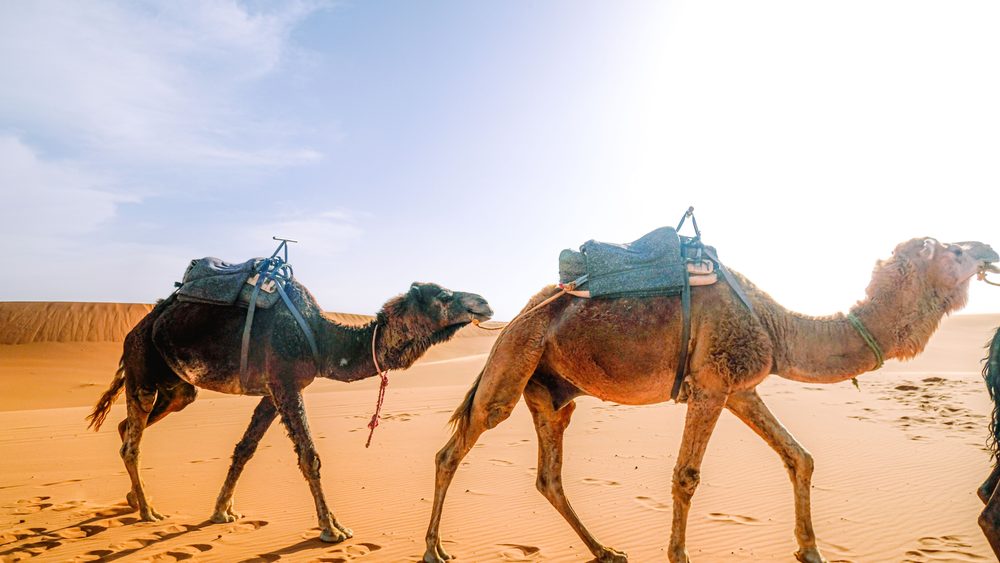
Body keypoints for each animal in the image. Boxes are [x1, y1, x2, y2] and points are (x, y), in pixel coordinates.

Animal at [87, 280, 492, 543]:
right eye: (444, 295)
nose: (484, 302)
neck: (325, 341)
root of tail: (135, 329)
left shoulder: (272, 391)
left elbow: (245, 449)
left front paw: (222, 510)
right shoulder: (285, 382)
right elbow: (309, 456)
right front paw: (332, 528)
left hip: (177, 386)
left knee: (130, 424)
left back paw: (135, 499)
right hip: (142, 364)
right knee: (132, 439)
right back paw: (148, 511)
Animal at [422, 237, 997, 563]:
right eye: (953, 250)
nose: (988, 249)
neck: (776, 326)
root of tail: (515, 318)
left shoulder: (740, 388)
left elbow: (799, 456)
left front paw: (811, 549)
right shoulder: (710, 387)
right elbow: (685, 478)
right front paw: (678, 555)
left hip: (552, 392)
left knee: (549, 476)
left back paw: (607, 551)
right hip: (513, 363)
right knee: (452, 450)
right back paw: (434, 550)